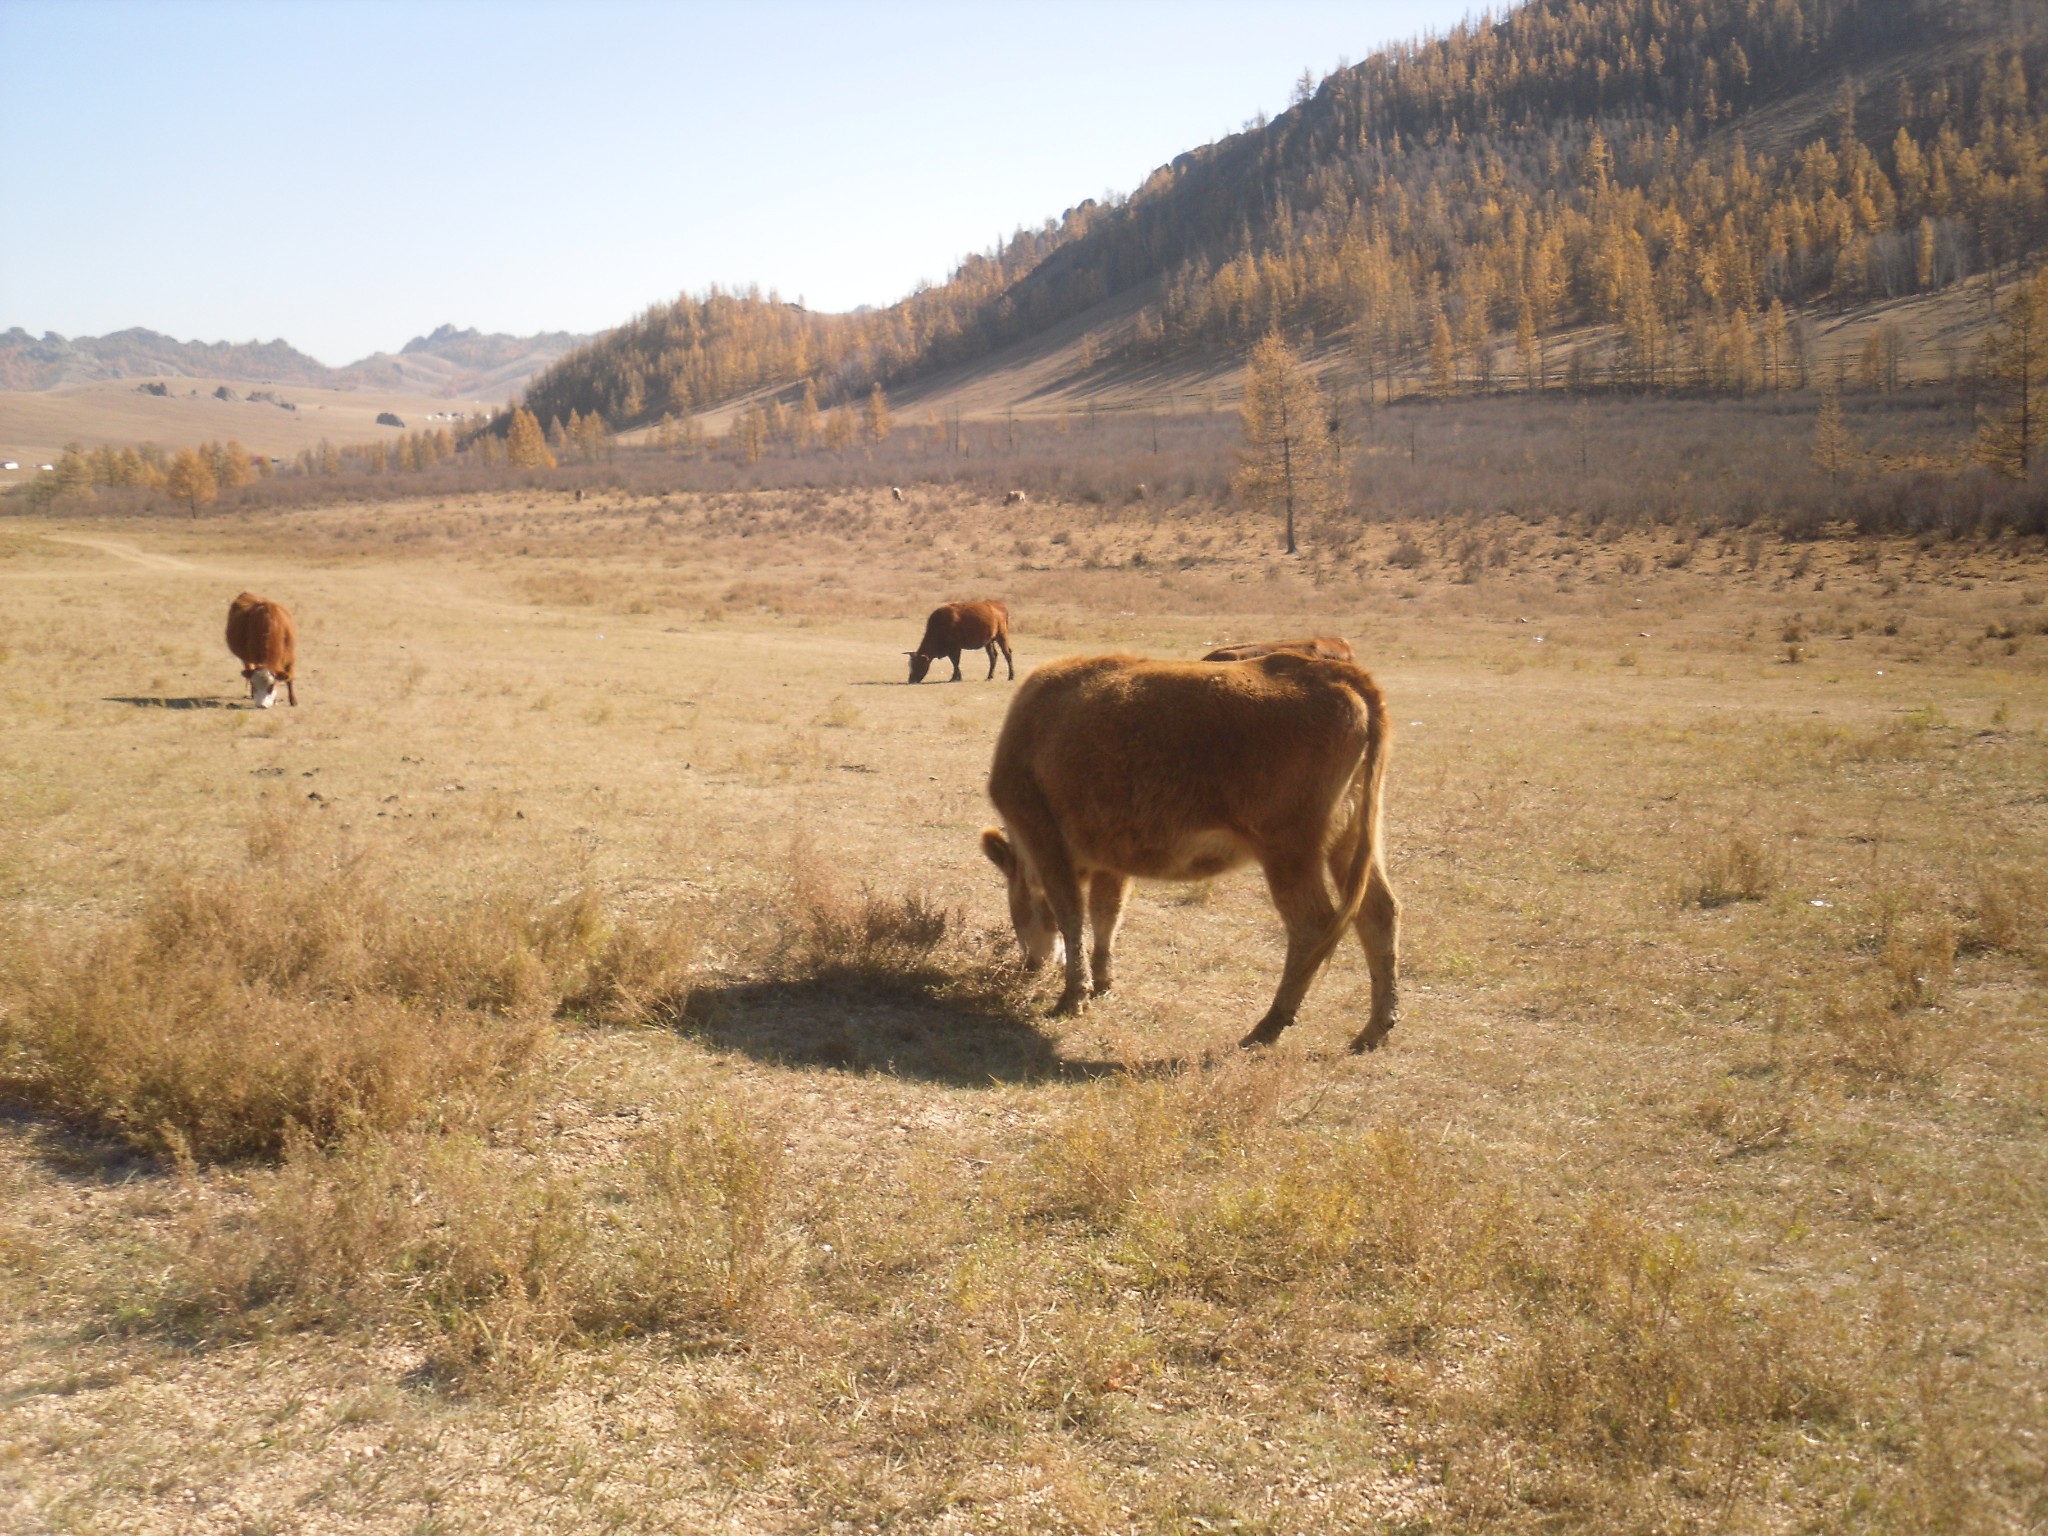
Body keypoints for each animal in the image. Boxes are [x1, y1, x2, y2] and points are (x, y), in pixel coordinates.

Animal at [970, 643, 1392, 1056]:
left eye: (1014, 903)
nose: (1029, 965)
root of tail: (1333, 673)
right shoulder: (1111, 859)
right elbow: (1106, 914)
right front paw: (1103, 981)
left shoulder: (1046, 841)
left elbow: (1071, 915)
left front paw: (1073, 997)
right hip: (1350, 842)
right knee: (1379, 912)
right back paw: (1374, 1031)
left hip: (1290, 852)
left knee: (1312, 925)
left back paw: (1267, 1026)